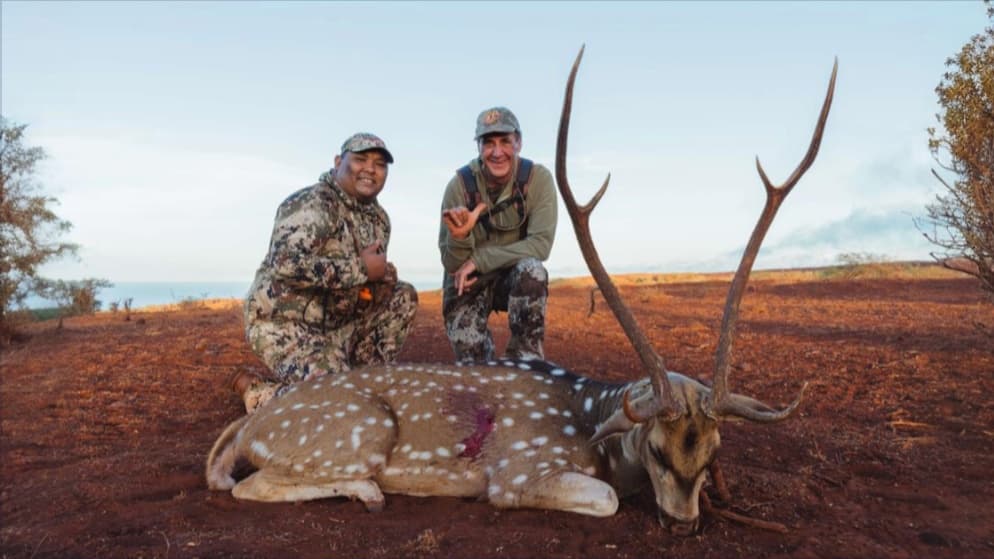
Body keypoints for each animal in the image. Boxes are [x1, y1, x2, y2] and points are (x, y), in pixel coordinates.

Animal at [206, 47, 837, 536]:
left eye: (713, 451)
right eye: (658, 447)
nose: (683, 524)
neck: (593, 424)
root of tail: (249, 429)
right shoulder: (518, 472)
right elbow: (606, 498)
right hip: (357, 432)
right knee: (245, 486)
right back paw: (366, 489)